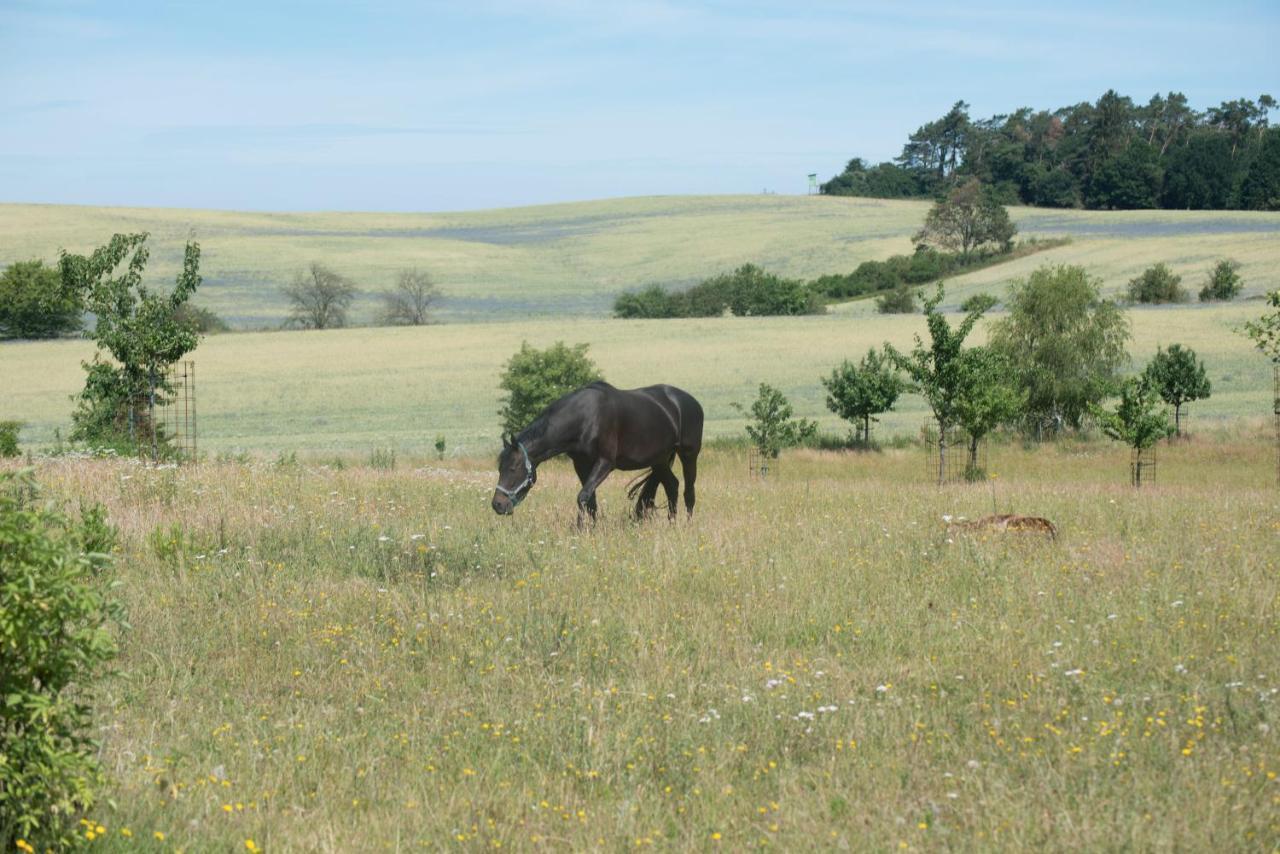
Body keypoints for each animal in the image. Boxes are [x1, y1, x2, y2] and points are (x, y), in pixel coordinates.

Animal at [491, 384, 711, 524]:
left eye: (513, 468)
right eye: (499, 468)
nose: (498, 505)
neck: (586, 418)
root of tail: (692, 403)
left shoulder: (605, 463)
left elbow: (582, 496)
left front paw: (580, 529)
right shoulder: (581, 464)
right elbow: (591, 501)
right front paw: (592, 530)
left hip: (689, 455)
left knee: (688, 492)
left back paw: (687, 527)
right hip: (660, 460)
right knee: (672, 486)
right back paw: (672, 525)